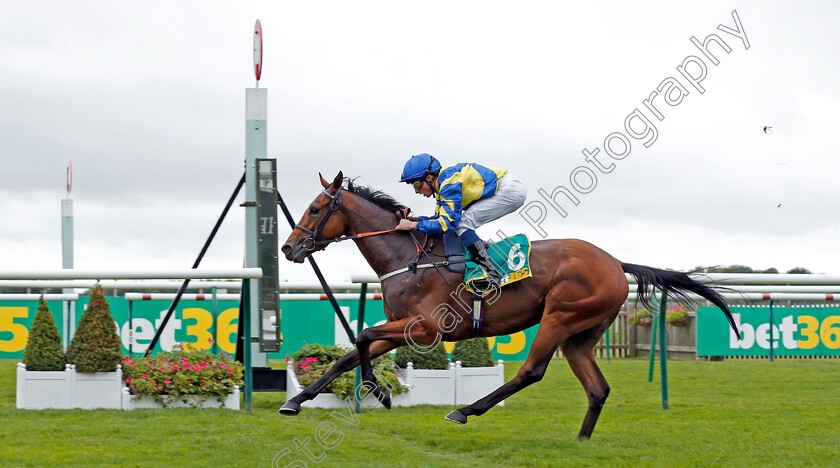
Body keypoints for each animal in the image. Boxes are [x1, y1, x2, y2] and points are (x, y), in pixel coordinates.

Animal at [278, 172, 740, 438]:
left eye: (316, 209)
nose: (288, 247)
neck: (407, 257)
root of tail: (614, 263)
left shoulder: (427, 328)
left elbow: (361, 336)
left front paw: (381, 392)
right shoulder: (403, 327)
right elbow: (349, 354)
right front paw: (296, 401)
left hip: (560, 316)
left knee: (531, 371)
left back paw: (465, 411)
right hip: (581, 336)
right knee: (597, 388)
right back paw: (581, 441)